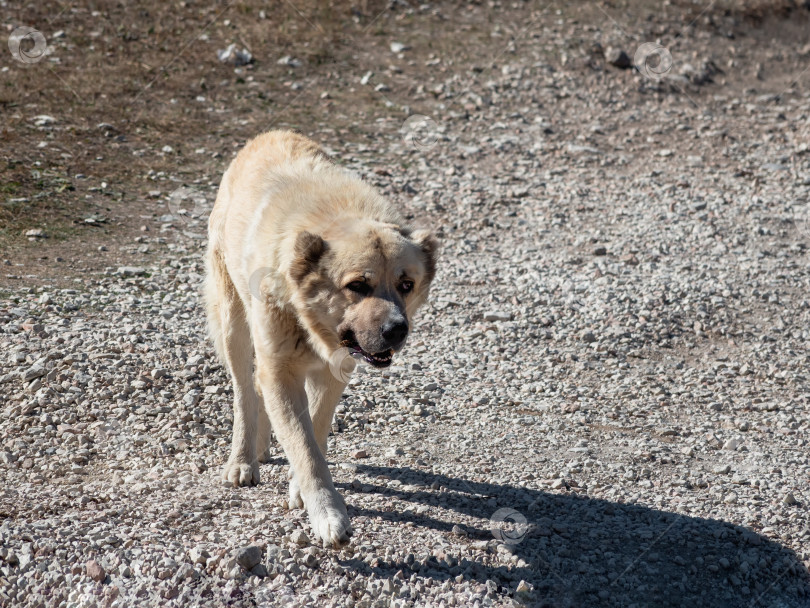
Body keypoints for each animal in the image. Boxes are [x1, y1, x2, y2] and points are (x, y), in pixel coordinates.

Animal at [205, 132, 438, 548]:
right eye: (357, 285)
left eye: (406, 285)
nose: (397, 330)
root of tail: (266, 135)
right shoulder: (281, 370)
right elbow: (305, 447)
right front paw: (329, 515)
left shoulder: (334, 371)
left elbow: (313, 431)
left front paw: (301, 488)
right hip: (233, 321)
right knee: (245, 391)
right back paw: (243, 458)